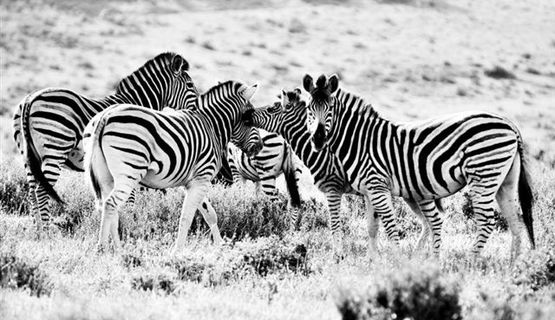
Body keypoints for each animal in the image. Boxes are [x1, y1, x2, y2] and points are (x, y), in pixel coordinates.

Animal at [10, 52, 199, 232]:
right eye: (190, 85)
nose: (197, 110)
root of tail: (30, 100)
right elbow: (130, 200)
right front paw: (129, 225)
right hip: (55, 150)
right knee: (41, 191)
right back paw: (46, 231)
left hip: (29, 156)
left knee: (32, 192)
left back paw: (36, 230)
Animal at [84, 80, 262, 255]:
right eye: (248, 120)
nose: (259, 147)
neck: (211, 127)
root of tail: (105, 117)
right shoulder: (202, 178)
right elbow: (187, 217)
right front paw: (177, 252)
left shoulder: (193, 182)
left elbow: (210, 214)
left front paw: (220, 247)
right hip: (129, 171)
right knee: (111, 204)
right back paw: (102, 249)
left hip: (106, 177)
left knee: (107, 207)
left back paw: (119, 251)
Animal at [250, 88, 440, 252]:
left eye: (271, 109)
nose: (247, 115)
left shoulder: (333, 188)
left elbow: (335, 226)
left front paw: (338, 256)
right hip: (410, 195)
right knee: (427, 223)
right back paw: (416, 255)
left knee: (434, 220)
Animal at [302, 74, 536, 258]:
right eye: (309, 109)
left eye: (330, 109)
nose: (318, 139)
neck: (359, 140)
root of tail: (509, 124)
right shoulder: (368, 191)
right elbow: (372, 227)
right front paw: (374, 262)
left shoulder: (377, 186)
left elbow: (390, 227)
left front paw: (398, 261)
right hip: (504, 181)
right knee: (516, 221)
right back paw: (513, 266)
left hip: (483, 173)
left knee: (487, 221)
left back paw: (469, 261)